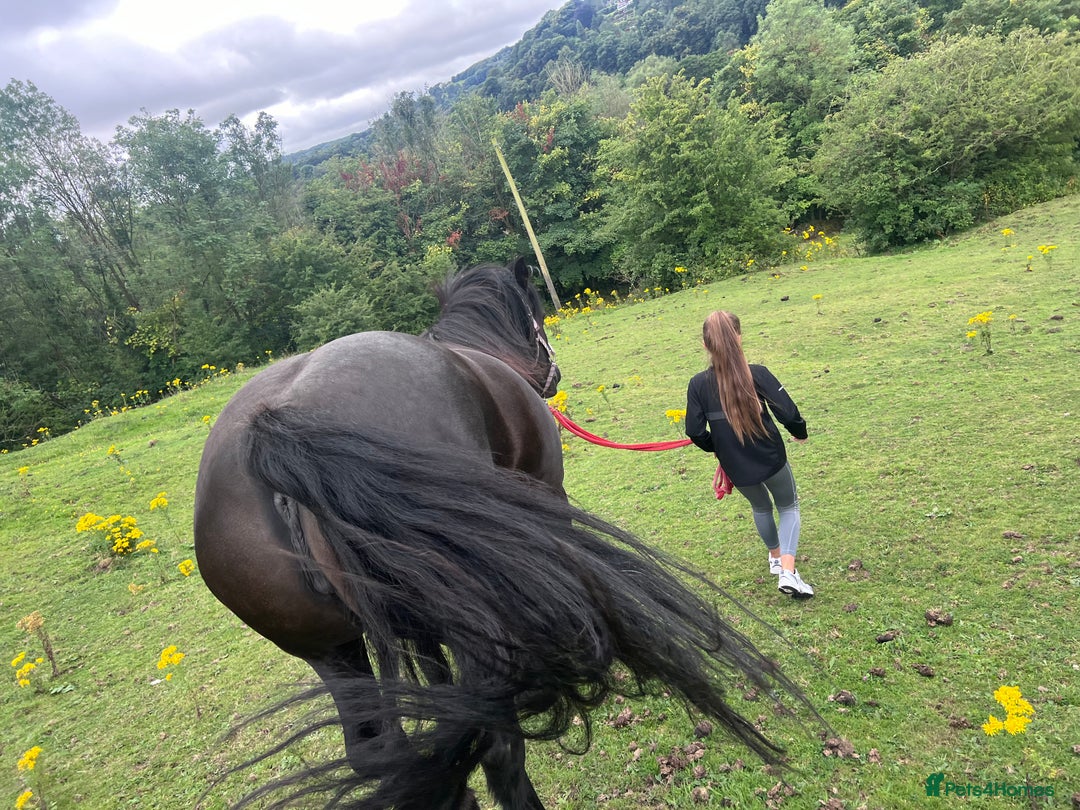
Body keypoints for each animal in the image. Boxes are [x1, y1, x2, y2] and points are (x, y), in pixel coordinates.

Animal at [193, 258, 810, 809]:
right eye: (536, 316)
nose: (554, 375)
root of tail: (275, 429)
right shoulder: (548, 503)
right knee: (494, 741)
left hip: (334, 652)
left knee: (394, 753)